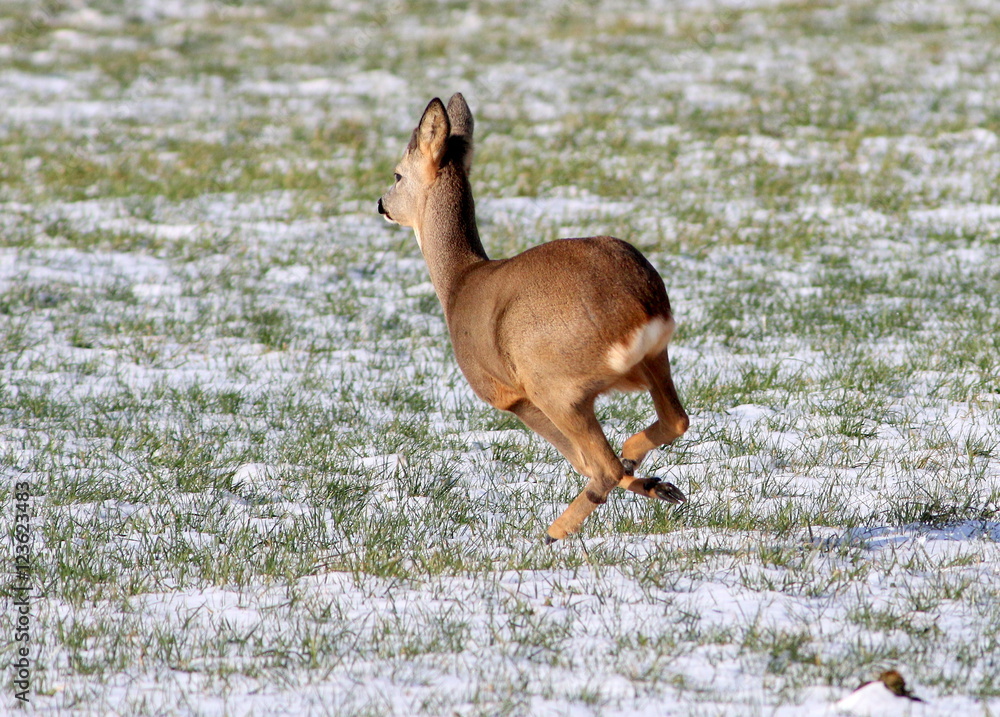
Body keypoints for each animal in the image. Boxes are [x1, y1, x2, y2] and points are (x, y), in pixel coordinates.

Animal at [377, 93, 689, 542]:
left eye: (398, 174)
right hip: (655, 358)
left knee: (604, 467)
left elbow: (579, 459)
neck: (459, 284)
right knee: (675, 421)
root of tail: (634, 313)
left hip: (554, 381)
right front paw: (658, 485)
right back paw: (646, 471)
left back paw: (552, 533)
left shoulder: (506, 393)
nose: (381, 204)